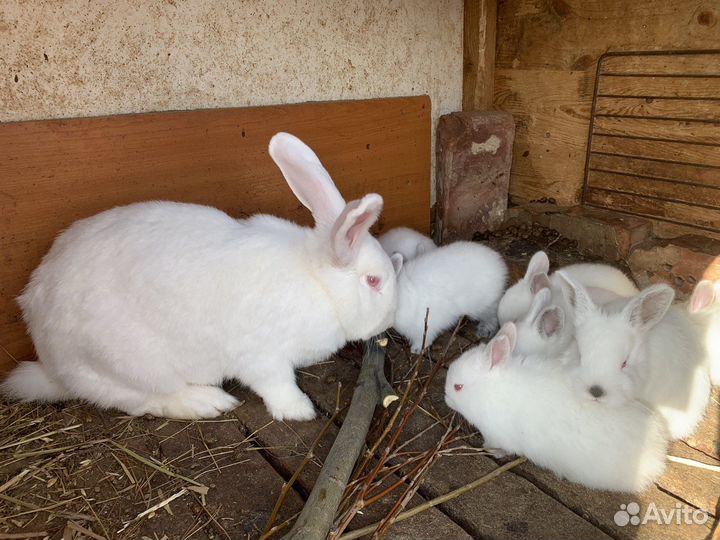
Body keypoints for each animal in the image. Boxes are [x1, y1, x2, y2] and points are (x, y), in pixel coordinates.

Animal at [1, 133, 399, 421]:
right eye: (373, 281)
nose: (389, 320)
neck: (317, 282)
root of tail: (50, 360)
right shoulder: (263, 357)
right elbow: (277, 385)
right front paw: (299, 411)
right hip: (126, 365)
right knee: (140, 400)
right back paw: (207, 402)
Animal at [445, 322, 668, 493]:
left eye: (458, 387)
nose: (446, 398)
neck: (491, 390)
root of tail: (656, 456)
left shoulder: (498, 435)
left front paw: (491, 451)